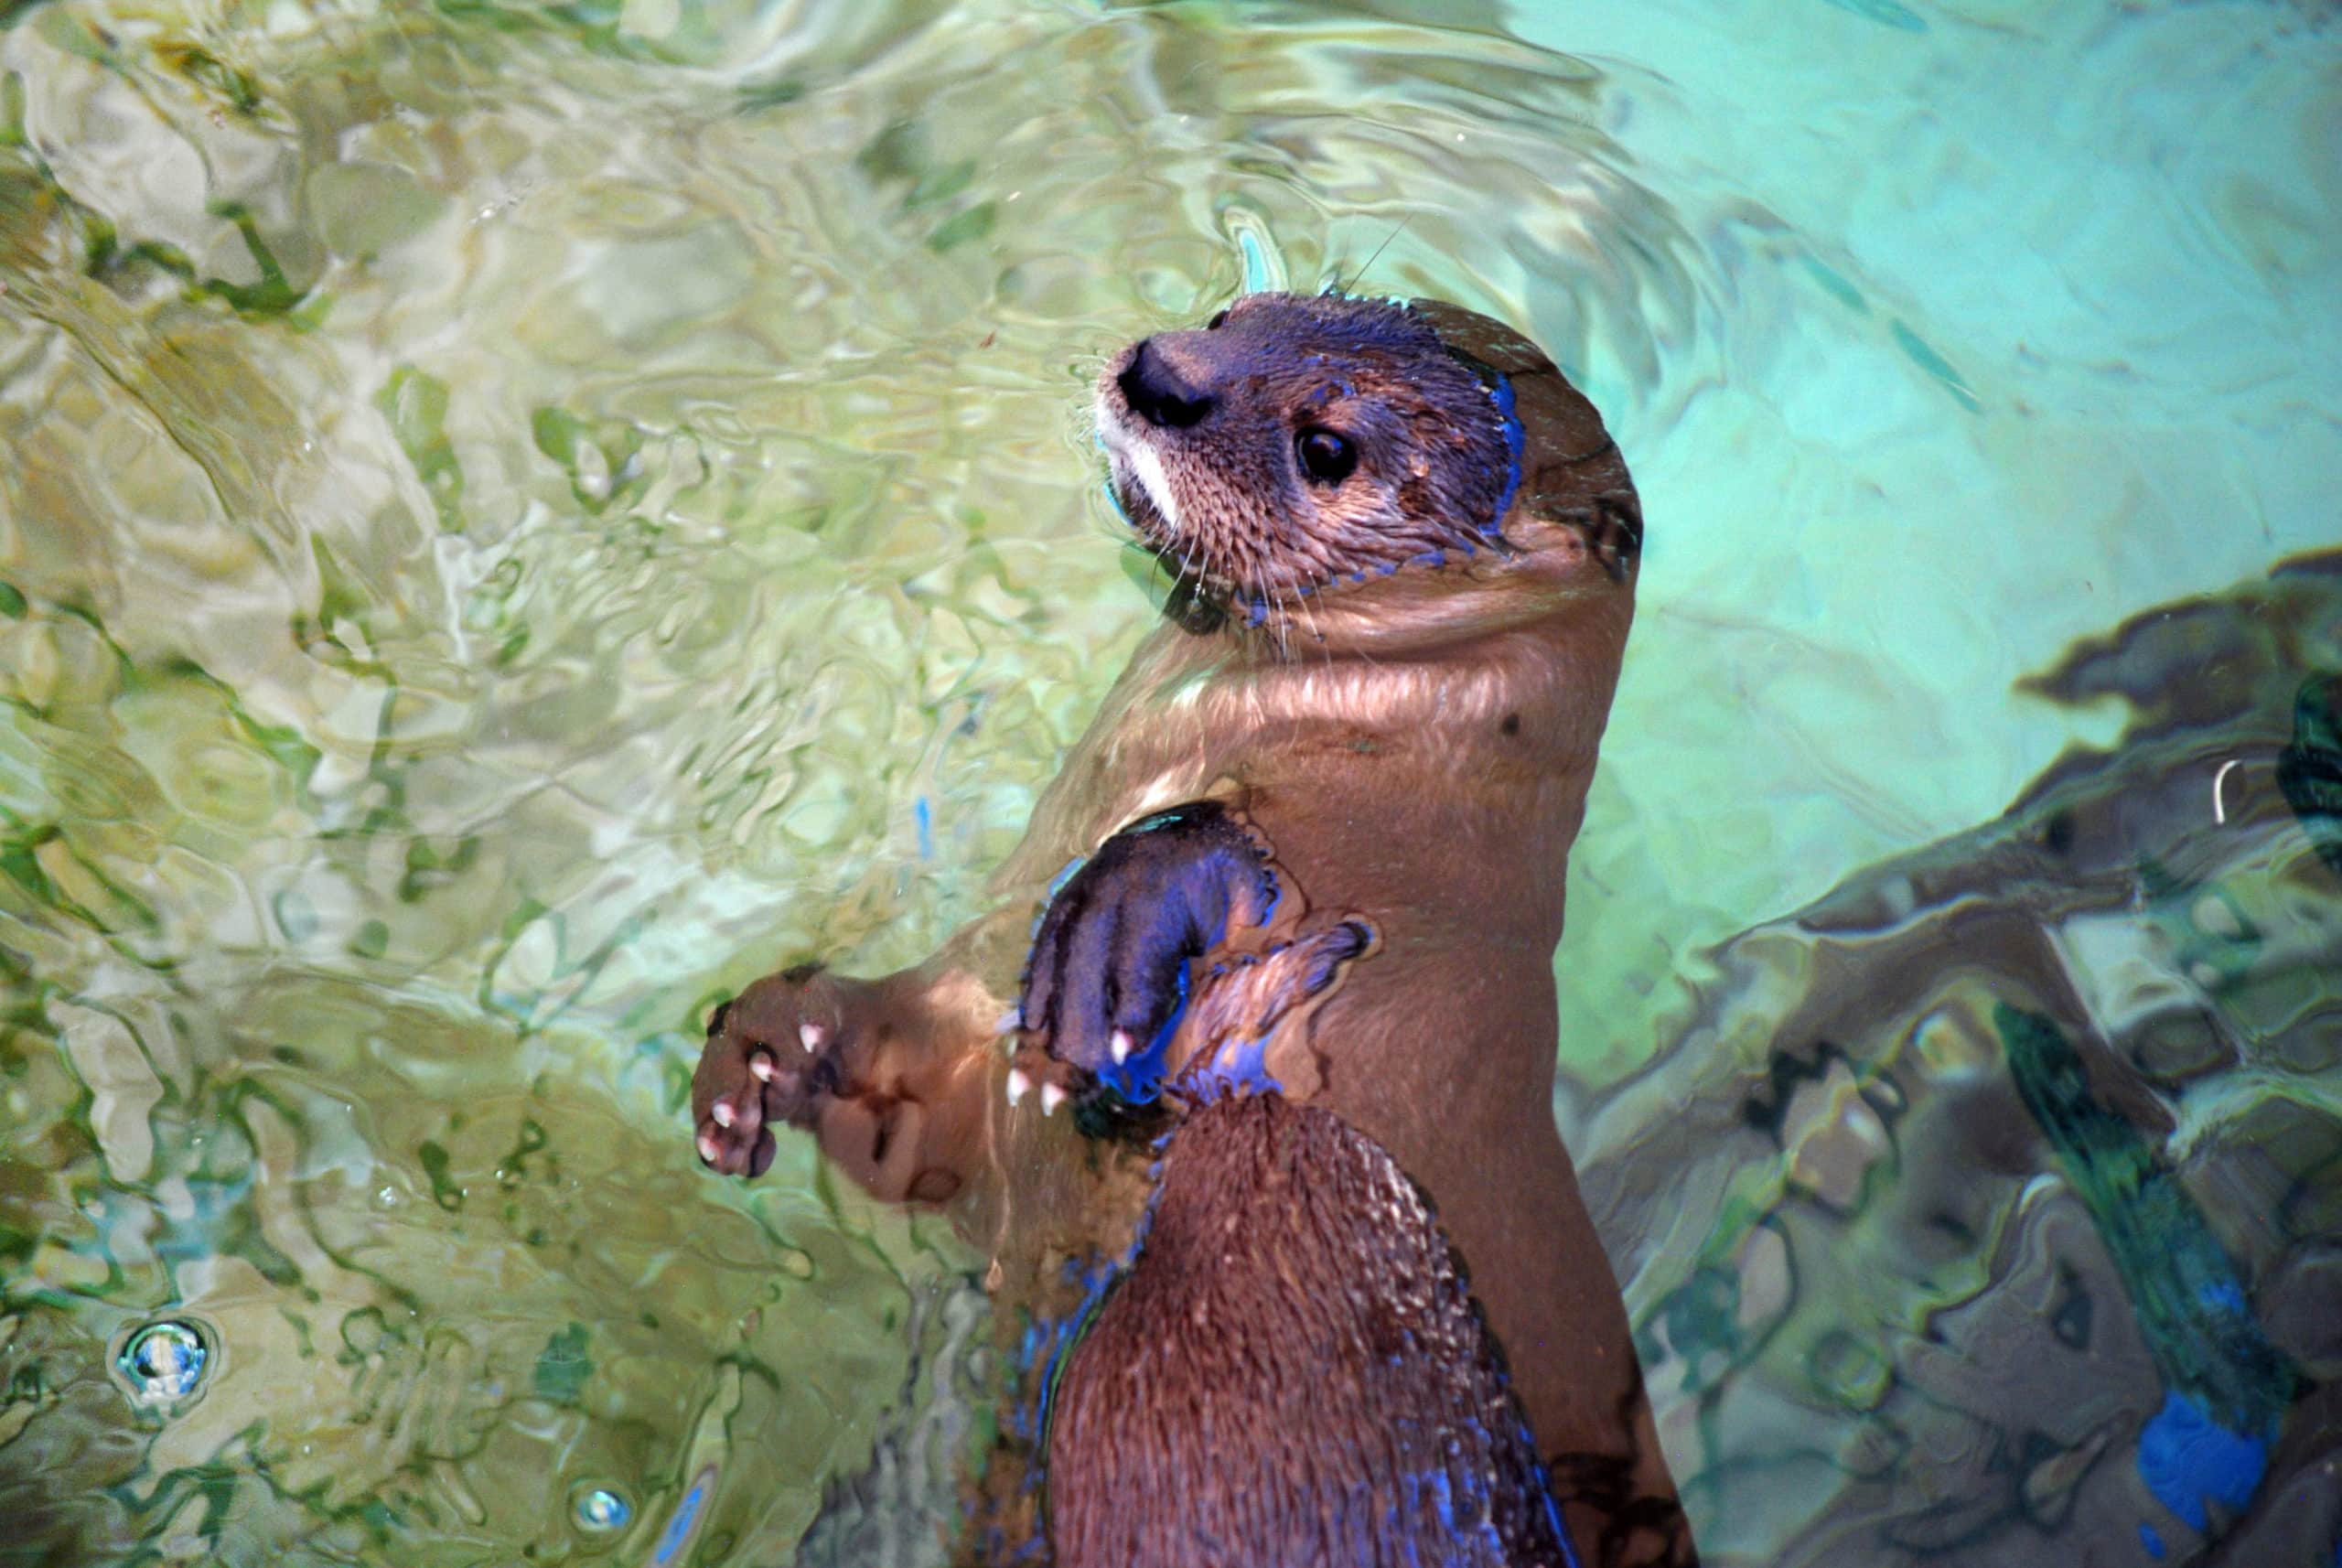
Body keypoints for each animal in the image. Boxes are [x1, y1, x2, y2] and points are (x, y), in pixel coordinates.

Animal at [691, 291, 1690, 1566]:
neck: (1357, 752)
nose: (1160, 373)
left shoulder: (1398, 915)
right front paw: (762, 1053)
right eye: (1234, 313)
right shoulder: (963, 1071)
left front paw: (1103, 958)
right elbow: (906, 1108)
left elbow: (1236, 872)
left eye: (1327, 445)